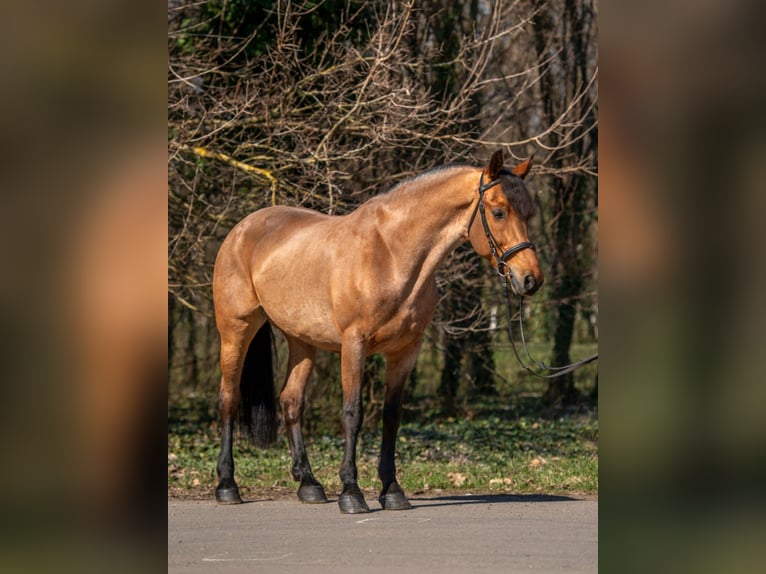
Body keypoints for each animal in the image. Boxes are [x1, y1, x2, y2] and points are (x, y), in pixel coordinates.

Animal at [212, 149, 543, 513]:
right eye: (498, 211)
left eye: (529, 213)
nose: (530, 279)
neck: (391, 255)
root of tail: (242, 228)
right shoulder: (353, 345)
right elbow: (353, 413)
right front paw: (351, 492)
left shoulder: (405, 351)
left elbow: (391, 416)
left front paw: (392, 490)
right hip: (236, 330)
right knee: (229, 398)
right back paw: (227, 485)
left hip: (301, 341)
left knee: (291, 401)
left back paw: (309, 484)